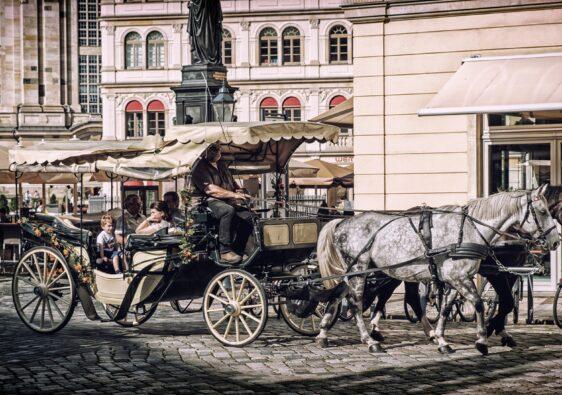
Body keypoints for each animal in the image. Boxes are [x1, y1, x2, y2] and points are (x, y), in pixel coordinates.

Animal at [316, 186, 556, 356]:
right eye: (543, 211)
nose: (556, 240)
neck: (469, 231)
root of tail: (343, 222)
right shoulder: (466, 277)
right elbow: (480, 303)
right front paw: (482, 339)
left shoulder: (457, 278)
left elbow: (446, 308)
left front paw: (442, 340)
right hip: (359, 270)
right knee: (356, 303)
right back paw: (370, 340)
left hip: (363, 272)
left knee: (339, 295)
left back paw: (324, 333)